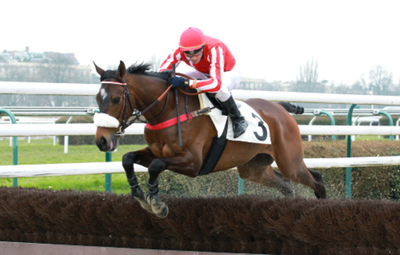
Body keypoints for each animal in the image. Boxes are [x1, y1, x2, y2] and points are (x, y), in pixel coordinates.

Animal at [95, 60, 326, 218]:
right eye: (97, 98)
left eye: (116, 99)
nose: (101, 141)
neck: (169, 110)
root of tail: (280, 107)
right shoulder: (155, 151)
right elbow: (127, 158)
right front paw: (140, 195)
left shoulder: (193, 162)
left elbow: (156, 166)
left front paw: (156, 203)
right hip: (254, 167)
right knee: (286, 184)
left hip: (290, 161)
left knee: (315, 179)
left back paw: (321, 208)